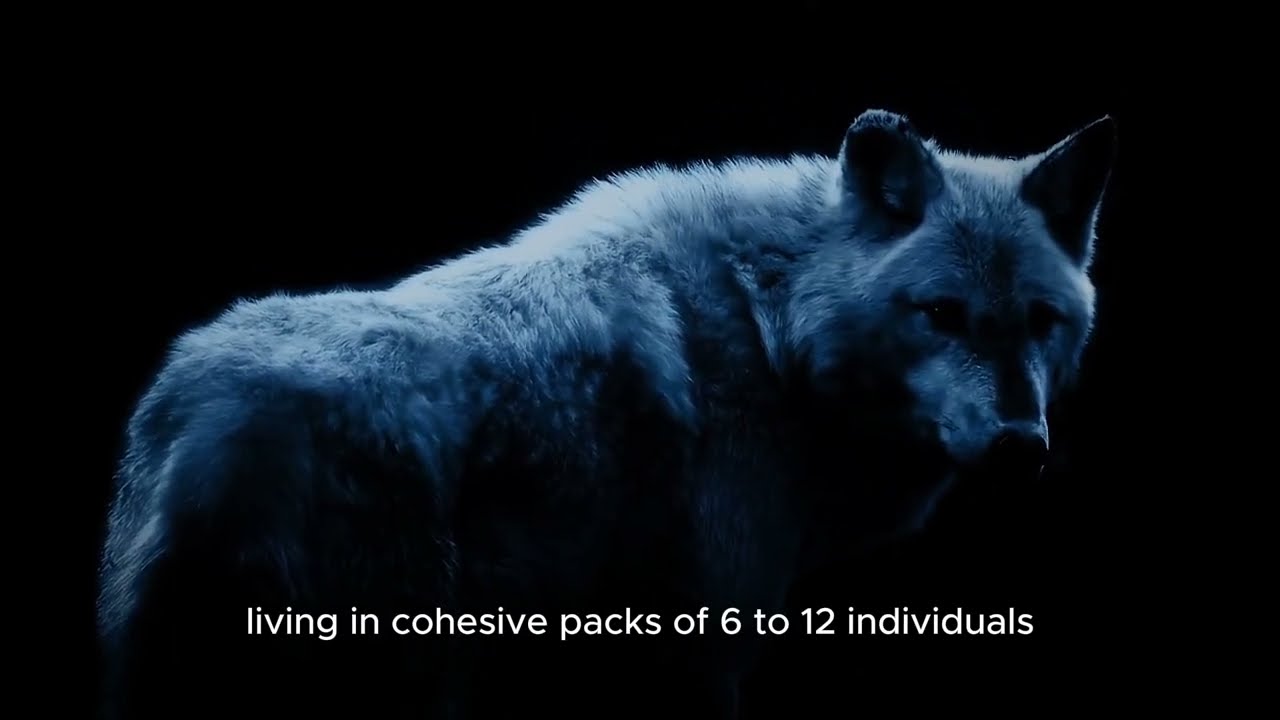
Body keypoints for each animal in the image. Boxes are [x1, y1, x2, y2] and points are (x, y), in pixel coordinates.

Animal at [96, 109, 1116, 719]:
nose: (1021, 443)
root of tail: (197, 426)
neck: (771, 326)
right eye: (942, 314)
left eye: (1043, 320)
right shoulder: (707, 645)